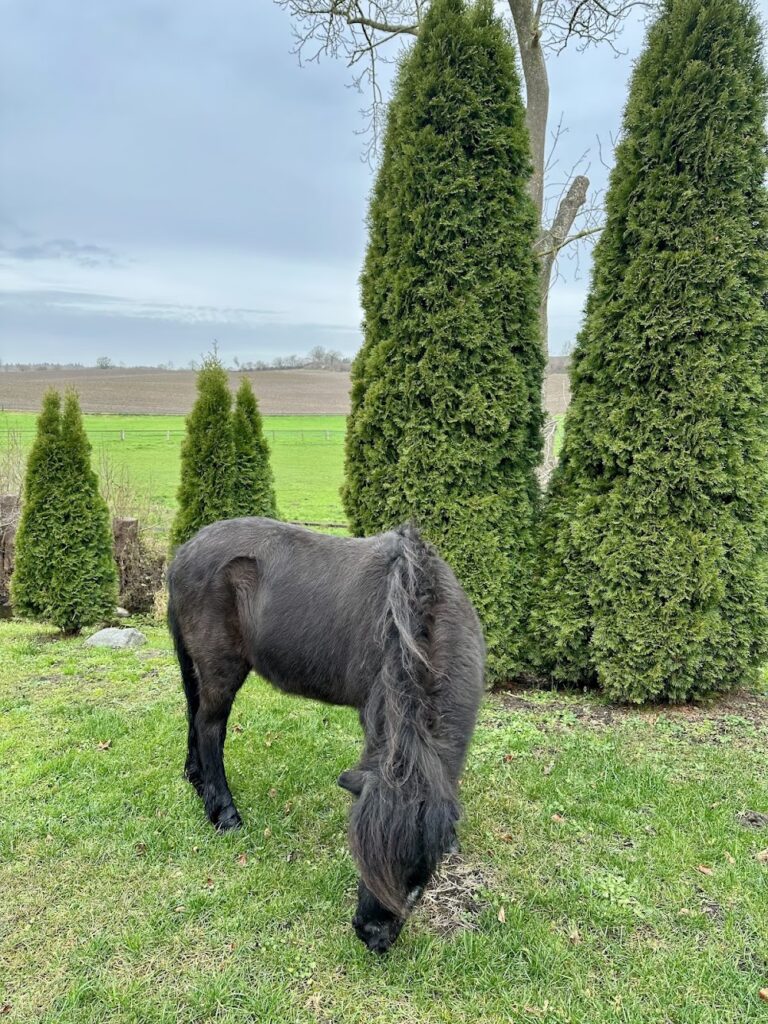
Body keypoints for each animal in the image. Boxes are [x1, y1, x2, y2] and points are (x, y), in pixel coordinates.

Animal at [167, 517, 485, 952]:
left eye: (420, 870)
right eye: (360, 852)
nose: (371, 934)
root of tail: (185, 552)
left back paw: (197, 781)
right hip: (220, 668)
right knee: (209, 726)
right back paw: (224, 813)